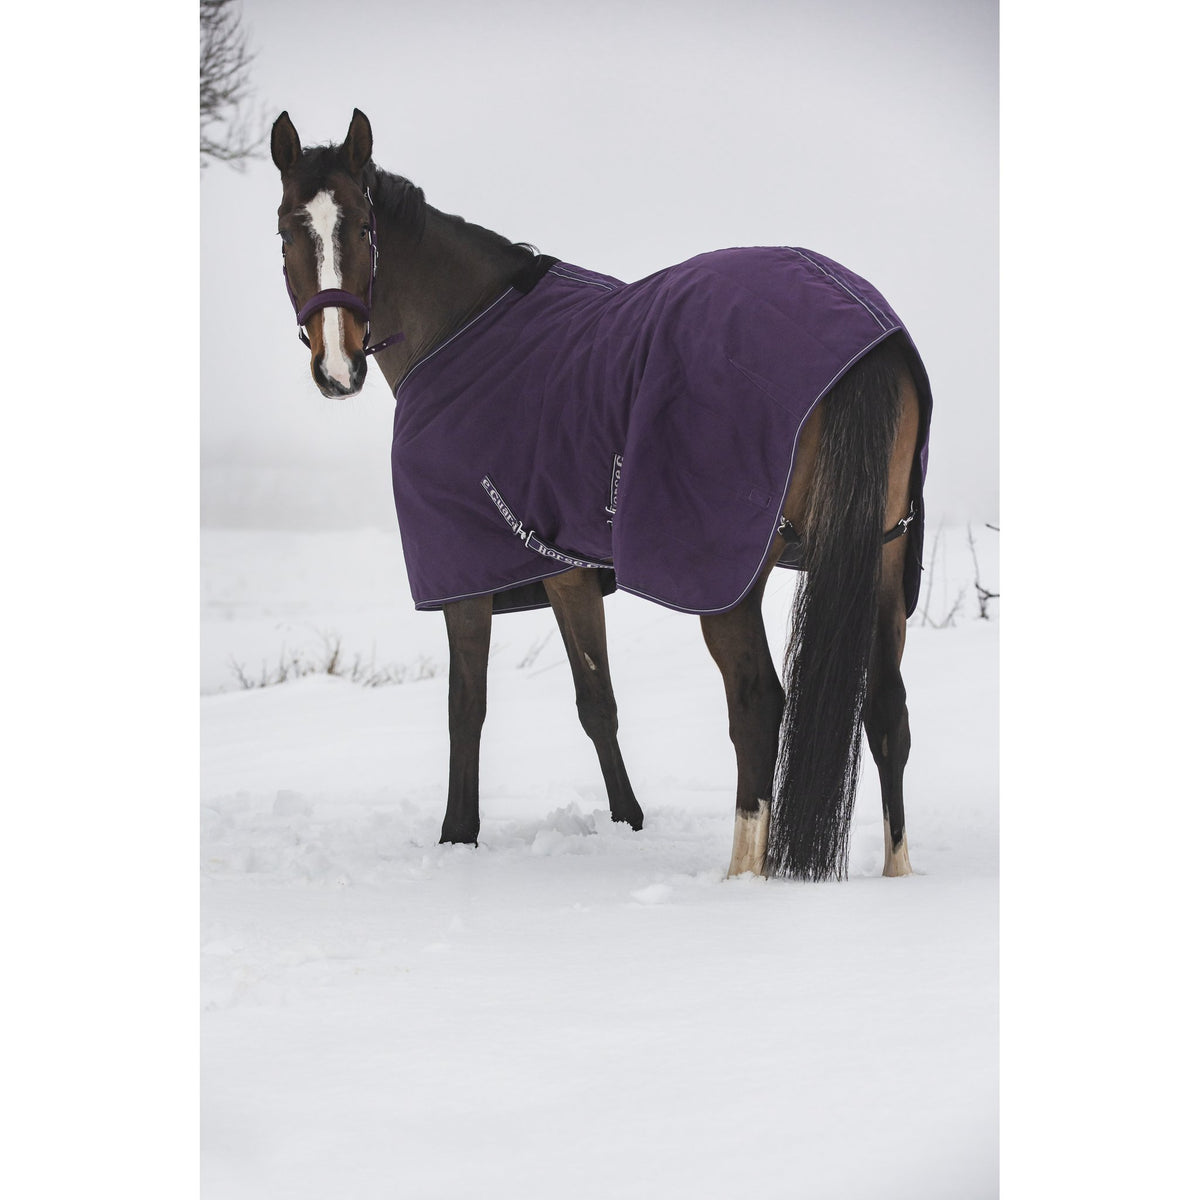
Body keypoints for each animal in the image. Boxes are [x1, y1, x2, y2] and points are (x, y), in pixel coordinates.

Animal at [269, 109, 932, 881]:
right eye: (287, 230)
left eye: (362, 229)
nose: (337, 367)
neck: (462, 327)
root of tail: (865, 339)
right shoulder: (566, 568)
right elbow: (597, 702)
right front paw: (628, 821)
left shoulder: (472, 570)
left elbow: (468, 705)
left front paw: (458, 835)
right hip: (883, 552)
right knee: (887, 710)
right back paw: (895, 871)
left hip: (728, 579)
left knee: (758, 705)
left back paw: (743, 872)